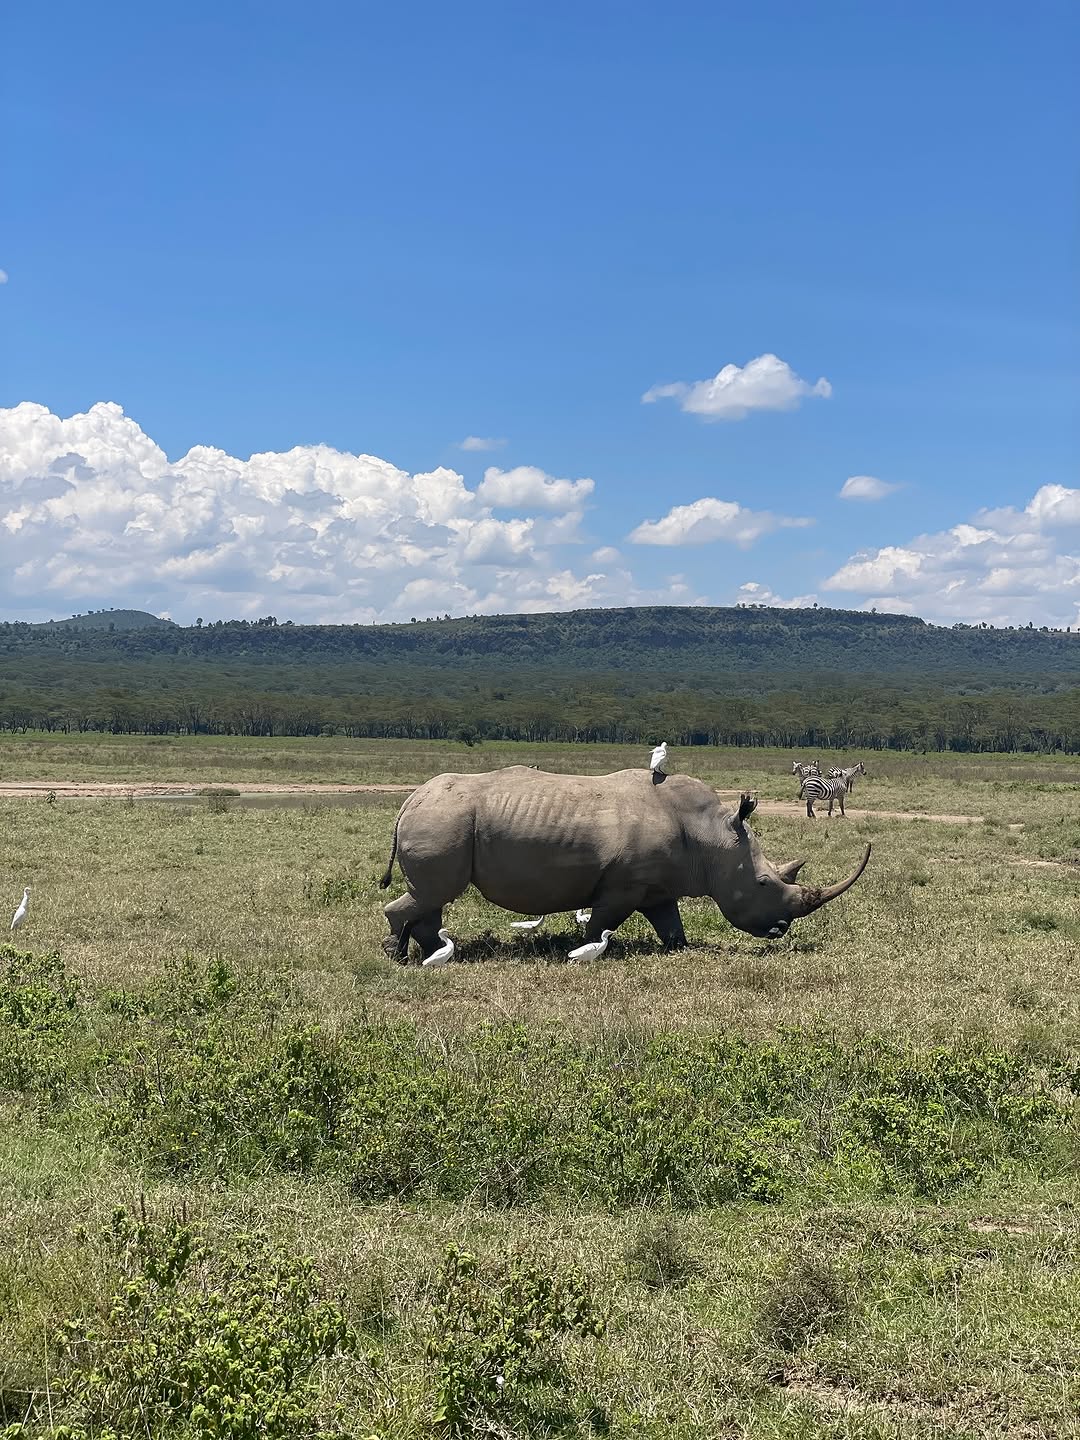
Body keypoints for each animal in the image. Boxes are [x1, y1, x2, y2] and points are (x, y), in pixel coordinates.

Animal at [379, 766, 870, 961]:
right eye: (765, 883)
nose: (780, 930)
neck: (713, 836)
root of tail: (409, 801)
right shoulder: (623, 886)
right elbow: (602, 922)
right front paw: (585, 951)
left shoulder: (659, 886)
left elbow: (671, 925)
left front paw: (680, 951)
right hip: (443, 818)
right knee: (434, 892)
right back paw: (402, 956)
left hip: (442, 818)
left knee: (431, 896)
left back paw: (429, 952)